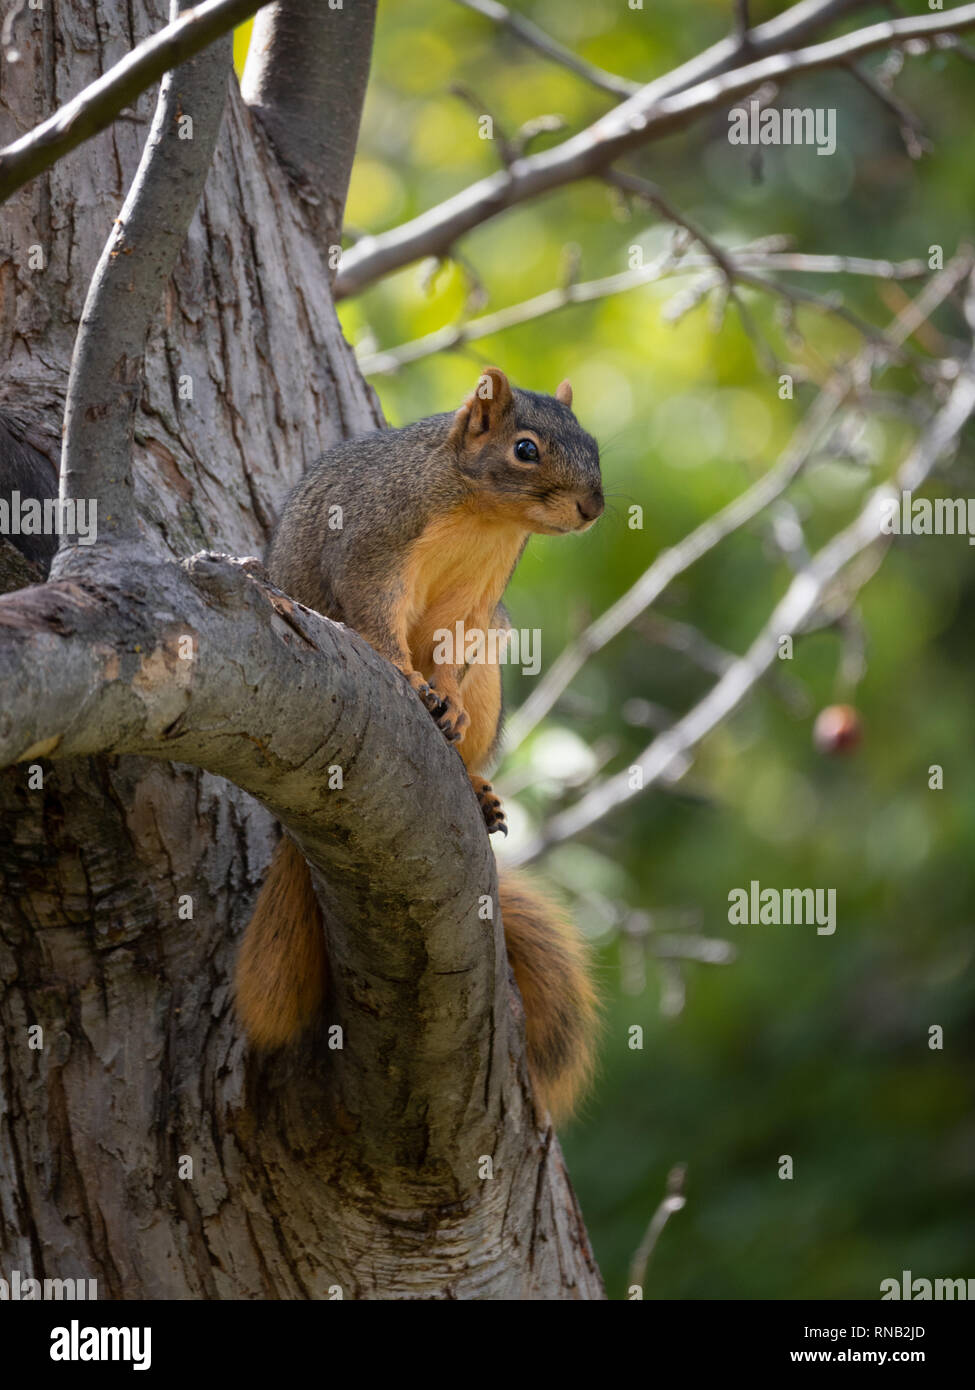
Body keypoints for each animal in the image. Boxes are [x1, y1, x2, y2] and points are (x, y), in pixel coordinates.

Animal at [235, 367, 603, 1123]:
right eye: (526, 449)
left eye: (591, 440)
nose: (593, 506)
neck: (483, 514)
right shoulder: (373, 544)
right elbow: (375, 616)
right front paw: (406, 679)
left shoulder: (476, 597)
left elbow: (453, 647)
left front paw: (446, 699)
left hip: (495, 662)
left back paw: (477, 786)